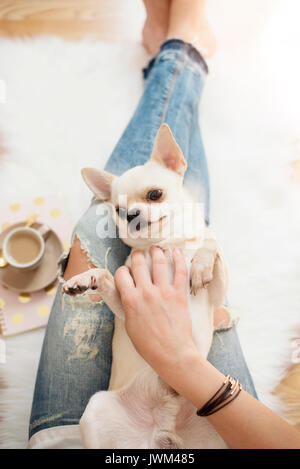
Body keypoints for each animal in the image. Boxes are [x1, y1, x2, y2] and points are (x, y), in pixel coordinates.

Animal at [62, 123, 227, 446]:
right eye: (118, 210)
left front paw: (200, 264)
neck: (165, 246)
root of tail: (162, 431)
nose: (131, 215)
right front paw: (84, 278)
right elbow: (107, 276)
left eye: (155, 194)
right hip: (97, 409)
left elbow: (211, 243)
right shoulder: (128, 307)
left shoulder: (217, 294)